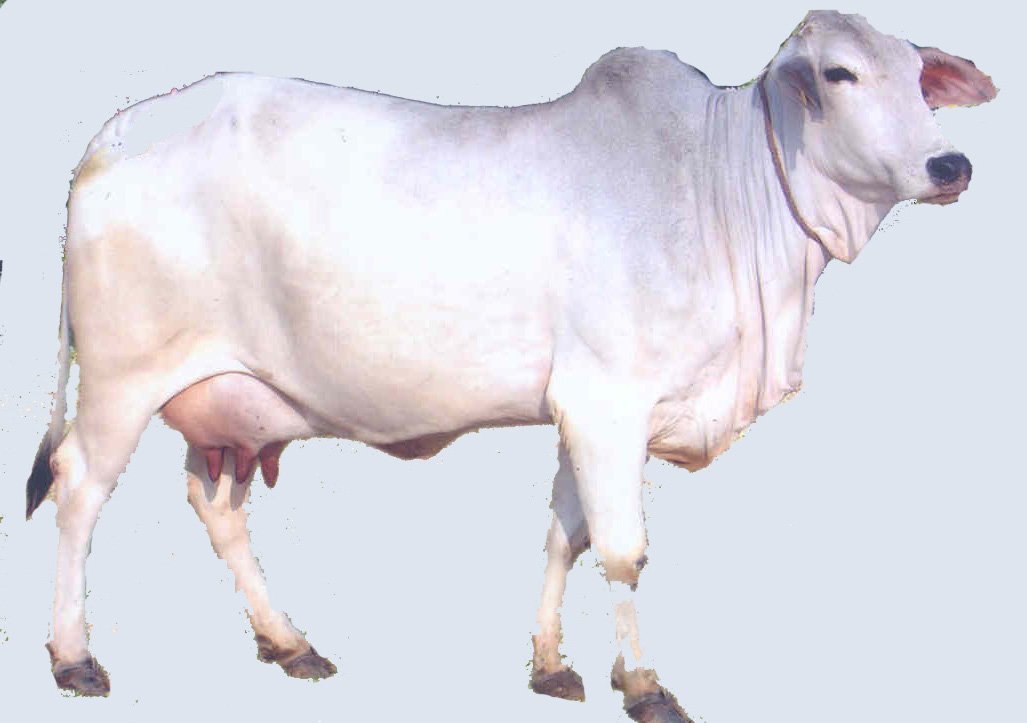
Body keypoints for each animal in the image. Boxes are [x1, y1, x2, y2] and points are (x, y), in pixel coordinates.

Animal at [25, 10, 995, 721]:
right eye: (838, 75)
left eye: (920, 76)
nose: (950, 163)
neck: (718, 191)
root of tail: (117, 132)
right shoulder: (609, 403)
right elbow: (622, 551)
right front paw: (644, 687)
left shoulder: (577, 410)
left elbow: (565, 534)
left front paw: (551, 664)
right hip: (120, 381)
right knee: (78, 488)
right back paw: (74, 655)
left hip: (227, 402)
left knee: (218, 508)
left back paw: (289, 641)